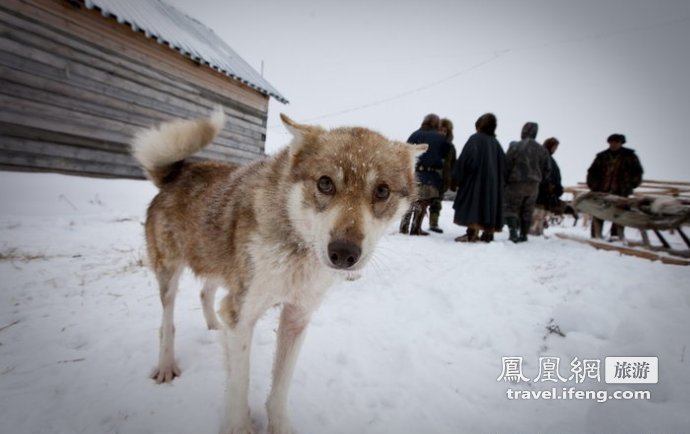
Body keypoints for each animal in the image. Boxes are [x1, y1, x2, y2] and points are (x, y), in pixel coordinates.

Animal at [130, 107, 424, 434]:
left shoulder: (296, 317)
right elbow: (239, 383)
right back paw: (166, 365)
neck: (296, 246)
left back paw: (214, 326)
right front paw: (239, 426)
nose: (344, 253)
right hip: (170, 273)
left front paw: (279, 425)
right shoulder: (242, 313)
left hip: (219, 266)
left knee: (206, 294)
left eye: (382, 191)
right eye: (325, 183)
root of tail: (177, 173)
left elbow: (280, 387)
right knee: (167, 323)